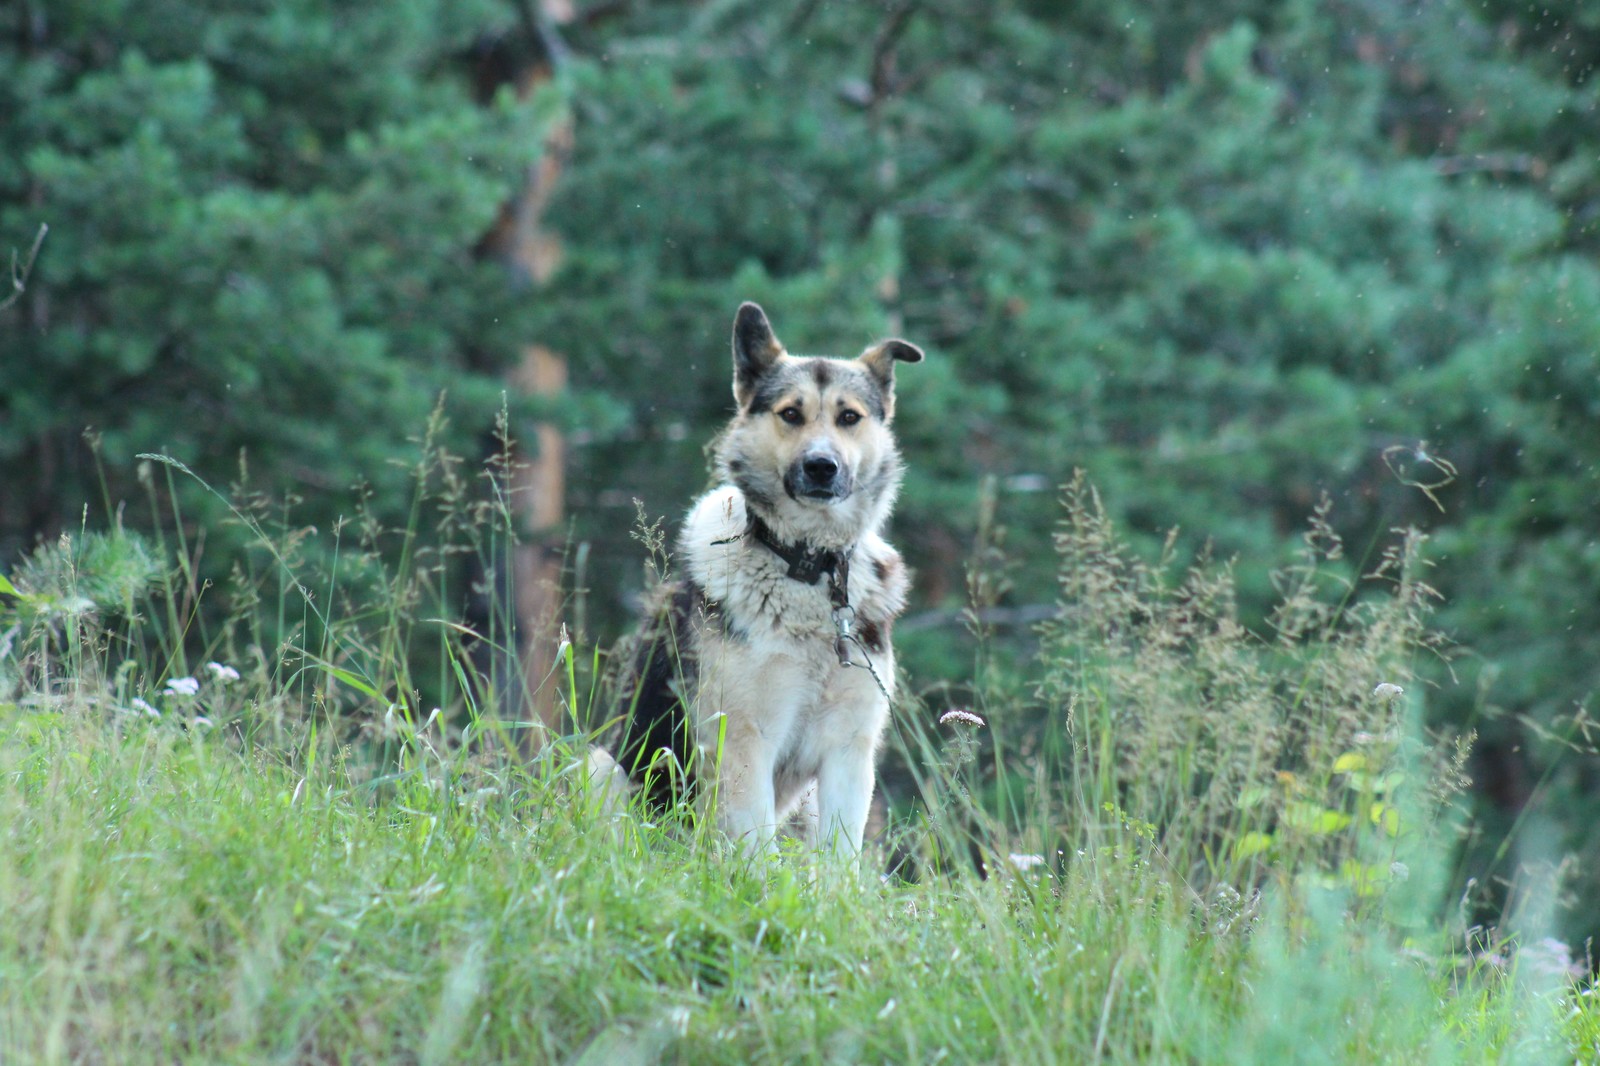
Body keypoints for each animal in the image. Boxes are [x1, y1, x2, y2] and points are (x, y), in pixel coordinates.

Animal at [601, 299, 928, 857]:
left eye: (849, 417)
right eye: (791, 414)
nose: (821, 466)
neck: (808, 568)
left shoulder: (849, 752)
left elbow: (840, 860)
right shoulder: (743, 738)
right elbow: (754, 847)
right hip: (601, 768)